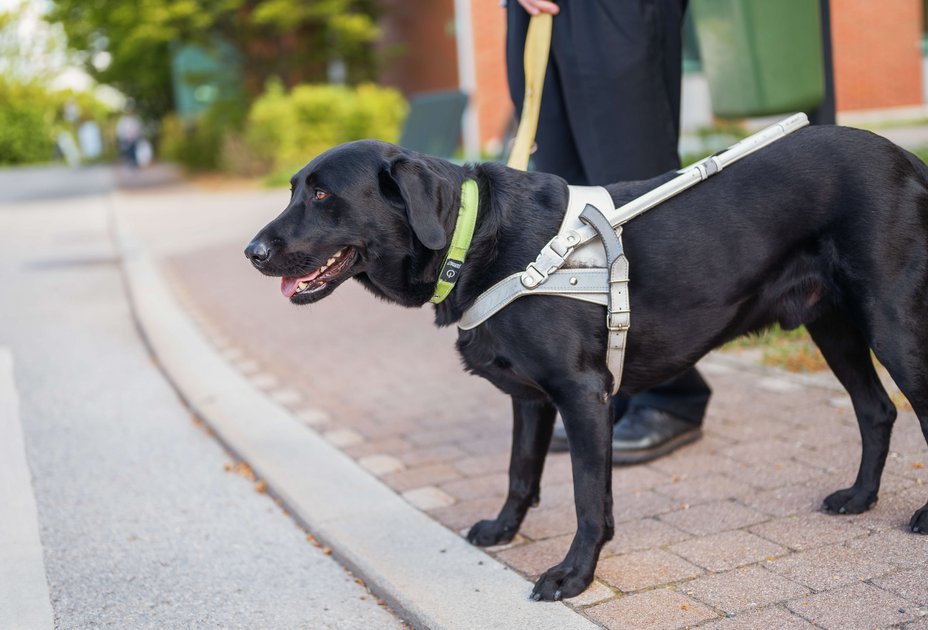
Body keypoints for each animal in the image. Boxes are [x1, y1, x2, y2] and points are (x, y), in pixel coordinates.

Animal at [246, 127, 928, 604]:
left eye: (323, 194)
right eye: (294, 189)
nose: (251, 251)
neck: (479, 240)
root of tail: (906, 157)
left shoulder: (583, 395)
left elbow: (585, 497)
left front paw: (573, 577)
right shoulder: (530, 399)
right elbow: (522, 475)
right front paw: (504, 530)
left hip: (890, 322)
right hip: (831, 325)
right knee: (876, 410)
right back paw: (860, 497)